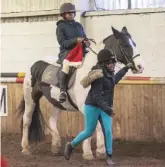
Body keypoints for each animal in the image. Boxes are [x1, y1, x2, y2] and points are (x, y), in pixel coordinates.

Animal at [17, 26, 144, 160]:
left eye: (134, 43)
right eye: (124, 44)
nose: (140, 66)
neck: (93, 71)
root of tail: (34, 65)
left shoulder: (100, 104)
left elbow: (99, 126)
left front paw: (100, 151)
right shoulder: (85, 106)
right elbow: (93, 126)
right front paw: (88, 152)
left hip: (57, 102)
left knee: (52, 120)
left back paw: (56, 145)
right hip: (31, 98)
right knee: (27, 119)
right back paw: (25, 148)